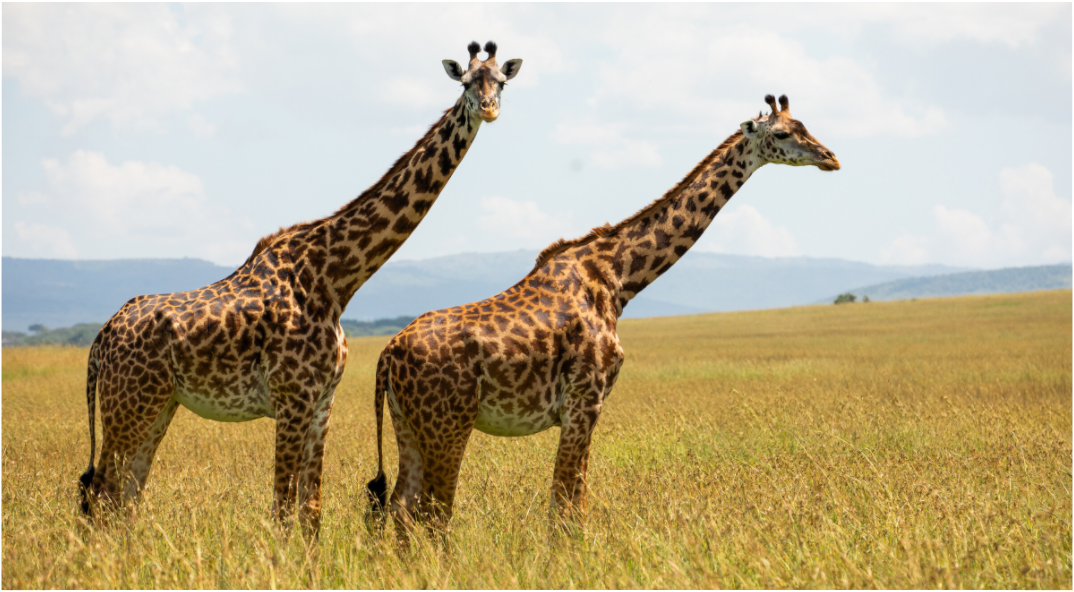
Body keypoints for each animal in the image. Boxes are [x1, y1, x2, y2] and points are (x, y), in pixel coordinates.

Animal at [78, 41, 522, 537]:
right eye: (465, 83)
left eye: (501, 82)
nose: (488, 108)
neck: (335, 278)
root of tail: (101, 339)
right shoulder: (292, 399)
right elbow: (282, 509)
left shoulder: (322, 401)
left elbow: (310, 511)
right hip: (128, 405)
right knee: (104, 493)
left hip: (156, 404)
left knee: (126, 493)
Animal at [365, 94, 839, 531]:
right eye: (783, 134)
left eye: (805, 125)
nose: (830, 158)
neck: (618, 278)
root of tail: (387, 354)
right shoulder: (584, 401)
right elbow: (565, 508)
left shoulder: (587, 407)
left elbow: (574, 501)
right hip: (448, 424)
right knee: (432, 513)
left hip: (408, 424)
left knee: (401, 508)